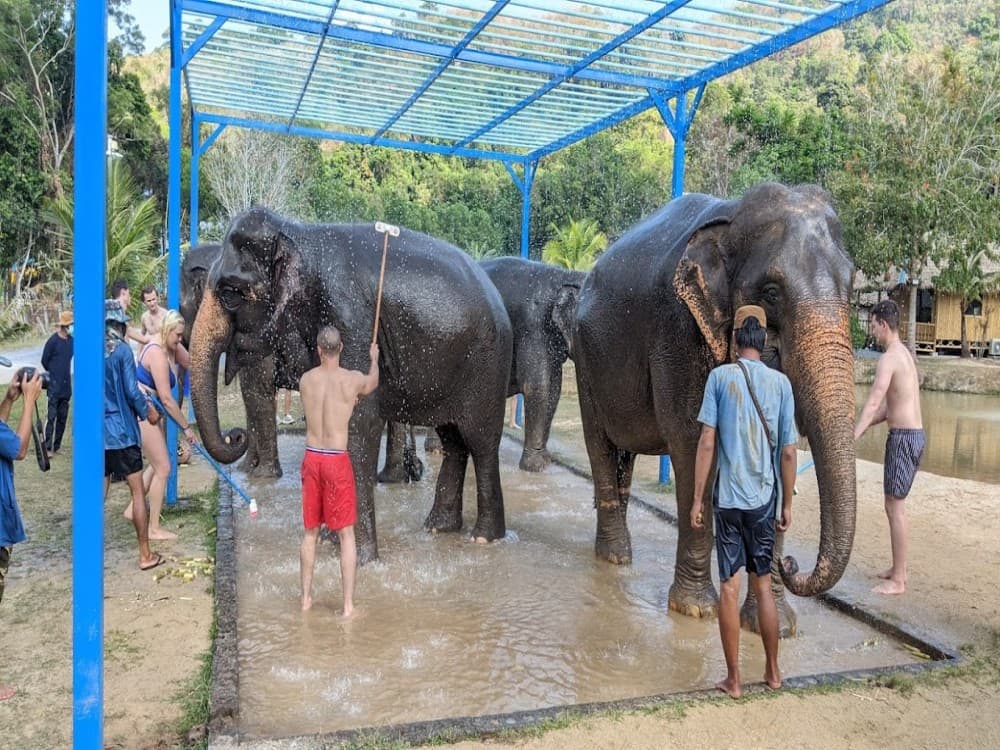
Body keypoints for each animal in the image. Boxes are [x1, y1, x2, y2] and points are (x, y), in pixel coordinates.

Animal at [189, 208, 513, 562]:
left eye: (229, 294)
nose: (235, 435)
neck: (302, 236)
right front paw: (329, 541)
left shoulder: (349, 315)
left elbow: (359, 418)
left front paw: (357, 556)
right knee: (453, 441)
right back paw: (438, 528)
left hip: (488, 368)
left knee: (481, 442)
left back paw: (483, 538)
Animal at [571, 183, 855, 629]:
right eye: (771, 293)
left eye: (853, 284)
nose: (793, 564)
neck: (733, 214)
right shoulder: (677, 332)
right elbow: (693, 445)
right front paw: (695, 610)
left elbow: (781, 449)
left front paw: (776, 626)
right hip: (584, 359)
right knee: (600, 445)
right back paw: (615, 558)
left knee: (623, 456)